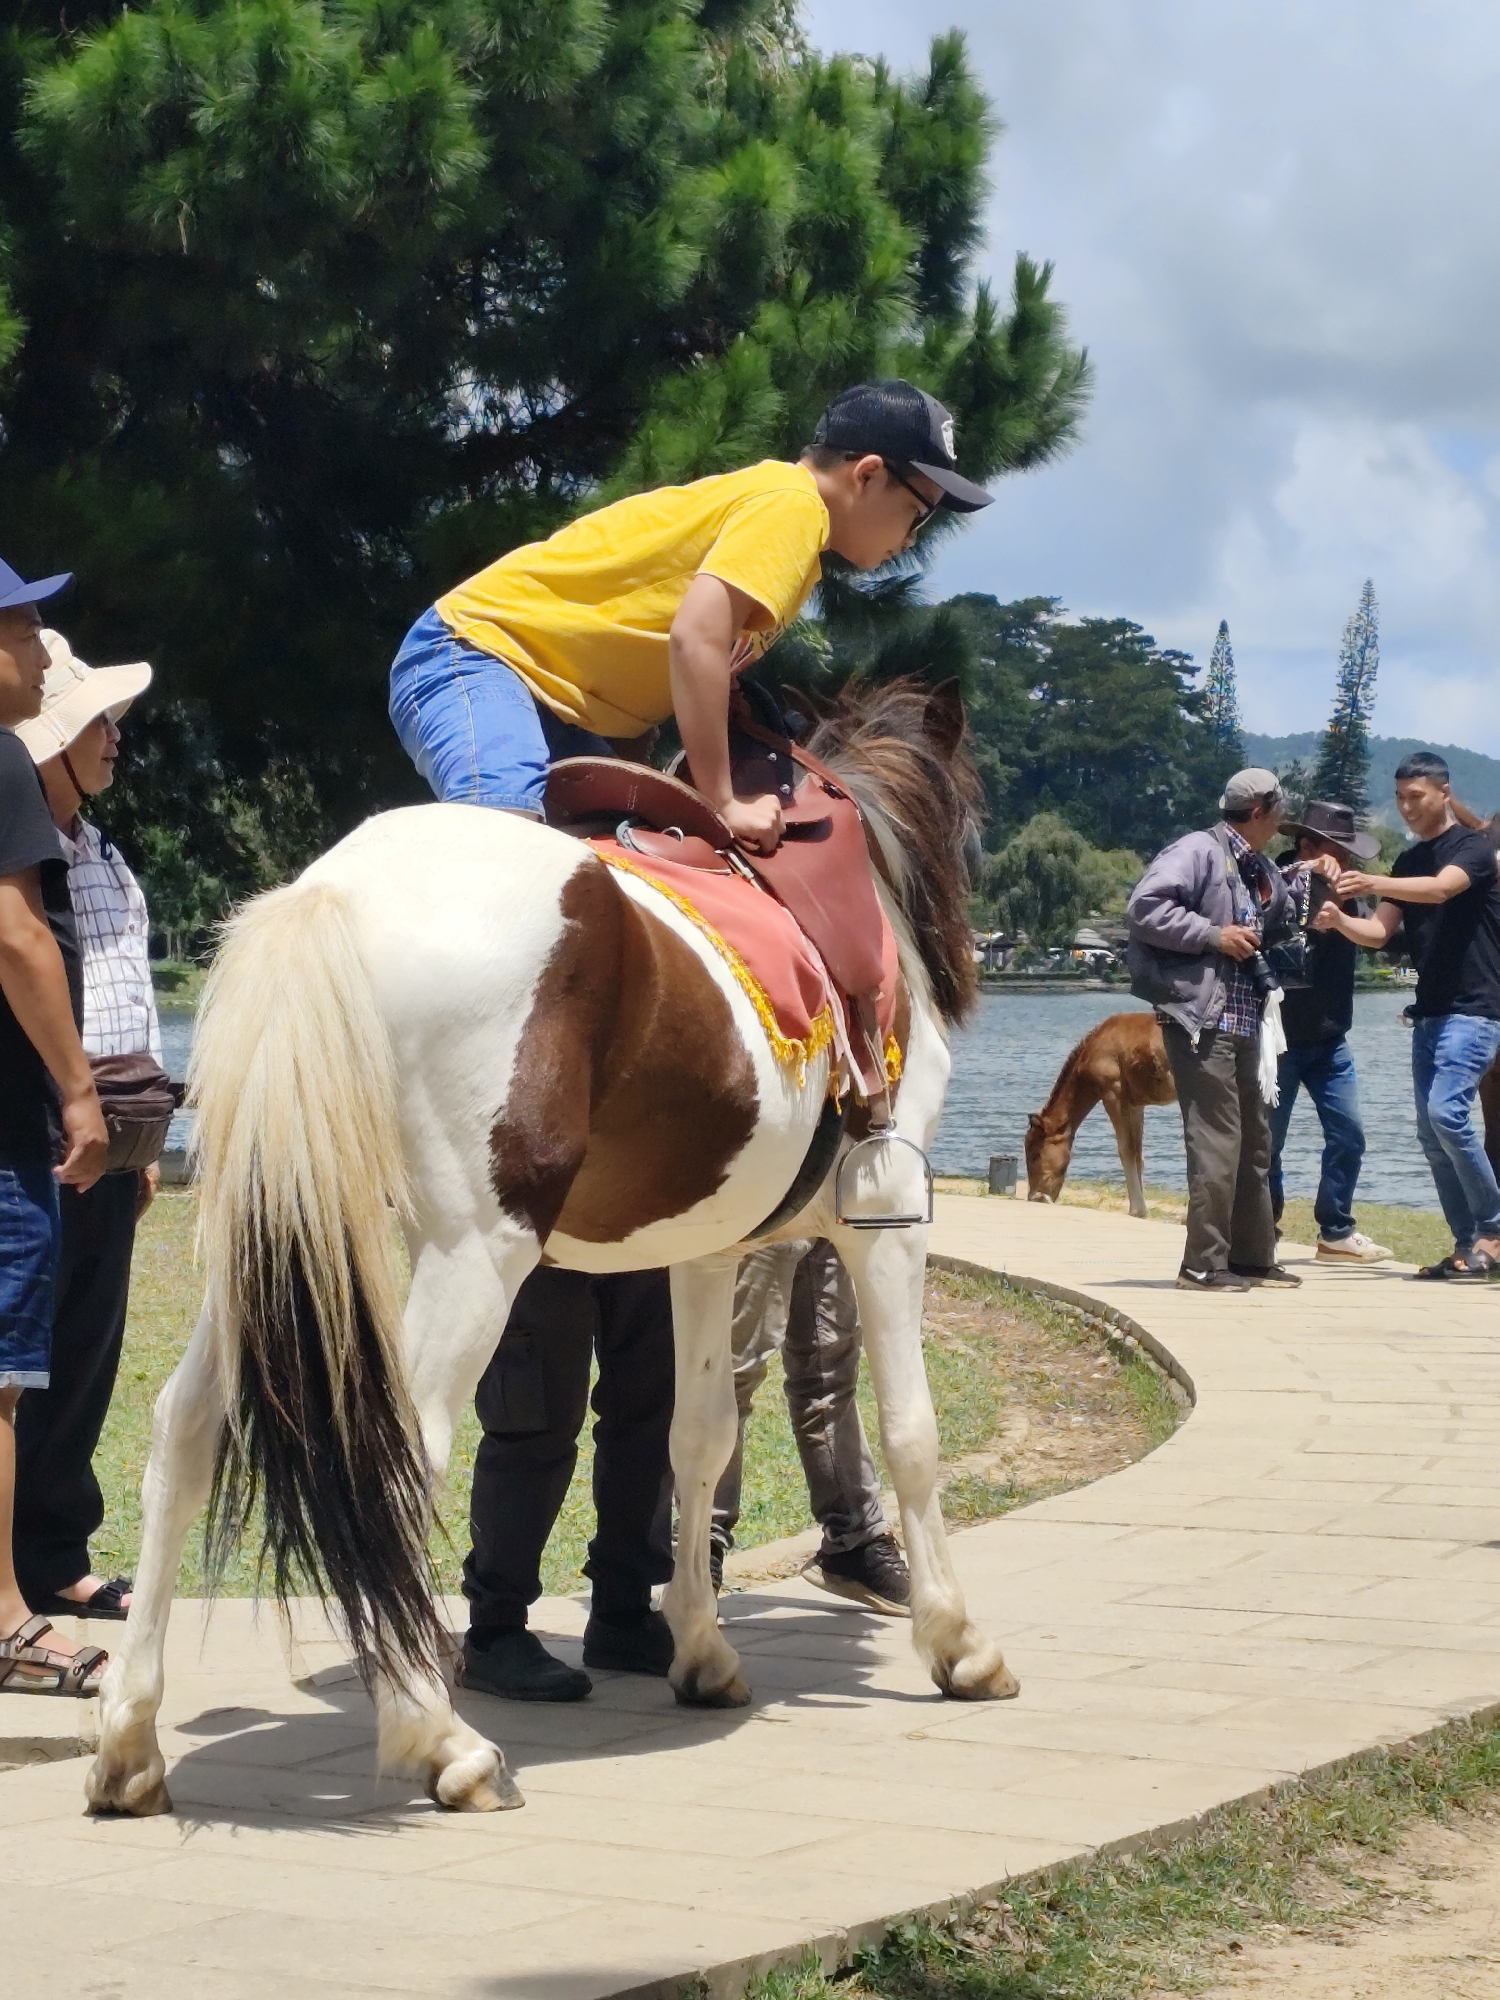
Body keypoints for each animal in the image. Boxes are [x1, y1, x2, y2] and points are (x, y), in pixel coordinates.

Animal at [85, 679, 1019, 1821]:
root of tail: (332, 895)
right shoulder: (885, 1219)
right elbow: (909, 1433)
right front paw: (959, 1643)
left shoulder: (708, 1253)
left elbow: (695, 1440)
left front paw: (703, 1652)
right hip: (474, 1253)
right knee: (404, 1455)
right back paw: (442, 1738)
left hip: (263, 1238)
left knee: (184, 1431)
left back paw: (131, 1738)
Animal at [1024, 1011, 1174, 1218]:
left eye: (1034, 1154)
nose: (1035, 1197)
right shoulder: (1135, 1105)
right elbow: (1138, 1154)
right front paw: (1143, 1209)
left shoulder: (1113, 1094)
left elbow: (1126, 1150)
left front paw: (1137, 1210)